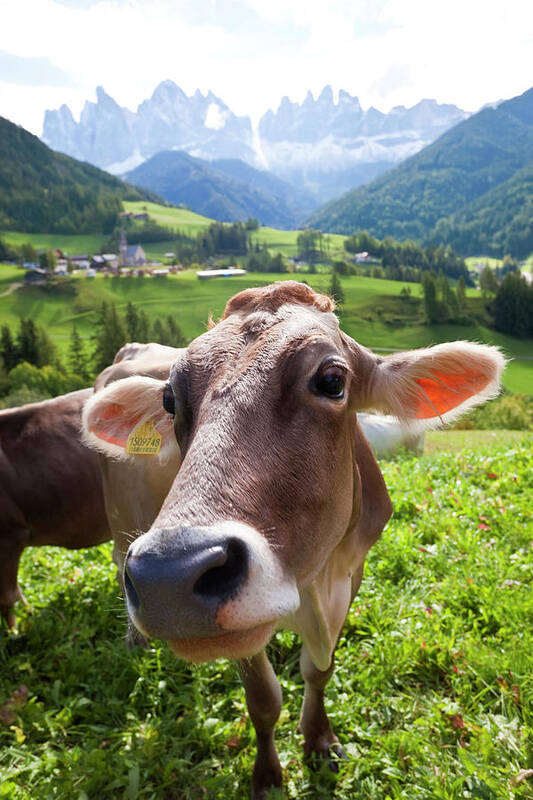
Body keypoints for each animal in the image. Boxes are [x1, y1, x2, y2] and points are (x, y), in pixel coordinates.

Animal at [82, 284, 502, 796]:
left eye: (332, 380)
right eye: (168, 400)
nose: (169, 576)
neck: (308, 582)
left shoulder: (350, 576)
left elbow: (319, 671)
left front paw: (320, 741)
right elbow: (264, 700)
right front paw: (267, 777)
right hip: (121, 517)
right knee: (117, 554)